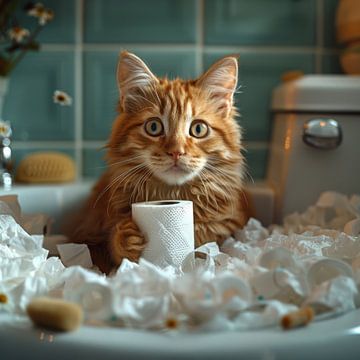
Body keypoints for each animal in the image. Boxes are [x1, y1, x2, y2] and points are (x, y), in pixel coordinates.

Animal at [70, 51, 248, 272]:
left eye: (198, 129)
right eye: (153, 127)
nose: (176, 152)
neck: (171, 193)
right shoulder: (88, 234)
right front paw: (126, 239)